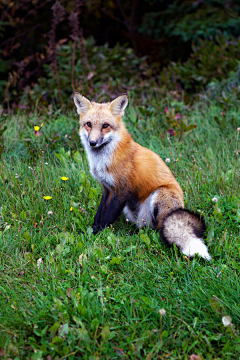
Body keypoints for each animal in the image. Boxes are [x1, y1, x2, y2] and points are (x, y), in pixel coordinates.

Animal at [74, 94, 211, 260]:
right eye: (88, 124)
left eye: (105, 125)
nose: (92, 143)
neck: (103, 160)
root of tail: (179, 208)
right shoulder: (107, 188)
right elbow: (100, 214)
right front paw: (92, 230)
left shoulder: (122, 190)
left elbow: (107, 217)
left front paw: (98, 235)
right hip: (131, 210)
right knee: (144, 228)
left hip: (159, 195)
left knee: (157, 230)